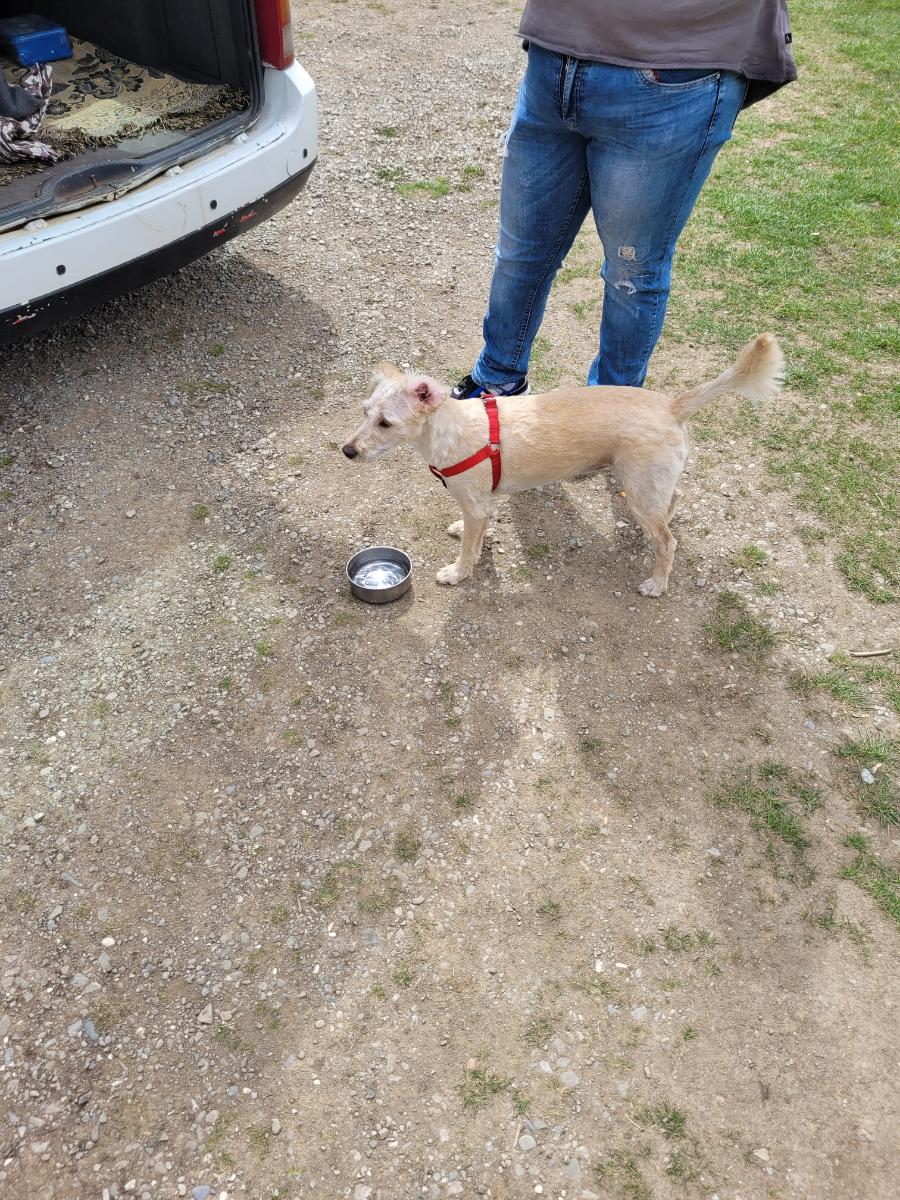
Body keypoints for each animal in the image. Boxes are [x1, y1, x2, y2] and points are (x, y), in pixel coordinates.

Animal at [341, 334, 784, 596]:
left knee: (668, 541)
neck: (448, 431)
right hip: (649, 486)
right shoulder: (481, 506)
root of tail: (672, 405)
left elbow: (470, 550)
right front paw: (463, 537)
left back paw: (657, 582)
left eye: (386, 423)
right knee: (672, 505)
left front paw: (457, 572)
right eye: (365, 412)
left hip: (639, 487)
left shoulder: (477, 504)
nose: (347, 451)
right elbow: (473, 534)